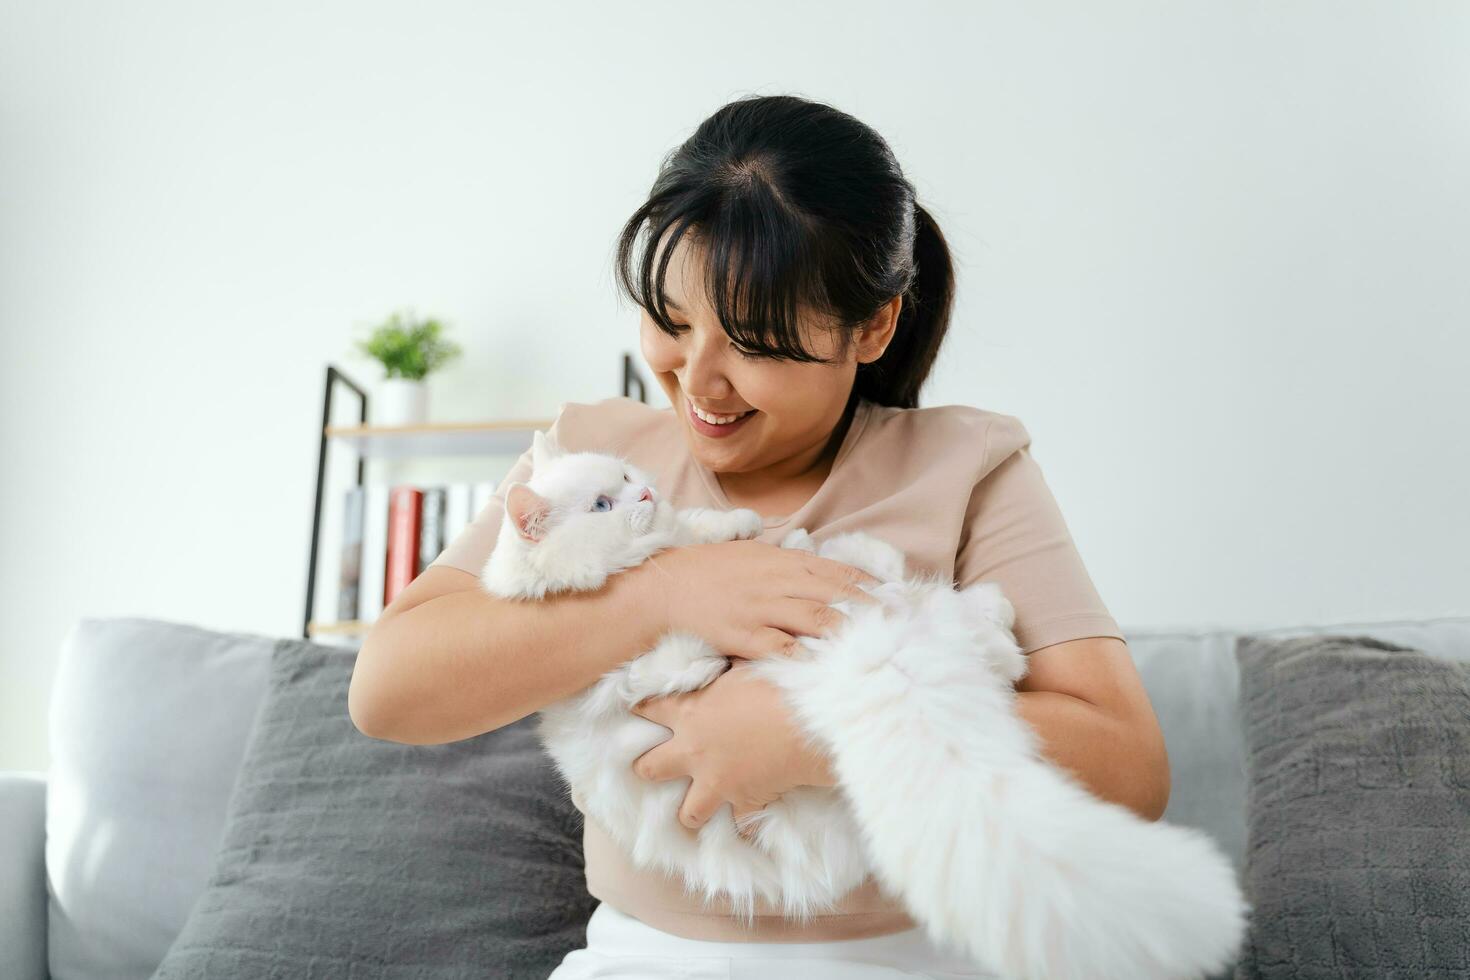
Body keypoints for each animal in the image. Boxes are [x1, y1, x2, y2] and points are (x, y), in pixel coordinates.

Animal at [482, 437, 1252, 980]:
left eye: (625, 476)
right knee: (984, 645)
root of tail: (881, 653)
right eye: (602, 505)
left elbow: (709, 528)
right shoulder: (615, 677)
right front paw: (698, 645)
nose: (642, 489)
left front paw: (747, 526)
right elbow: (662, 657)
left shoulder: (688, 541)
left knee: (947, 615)